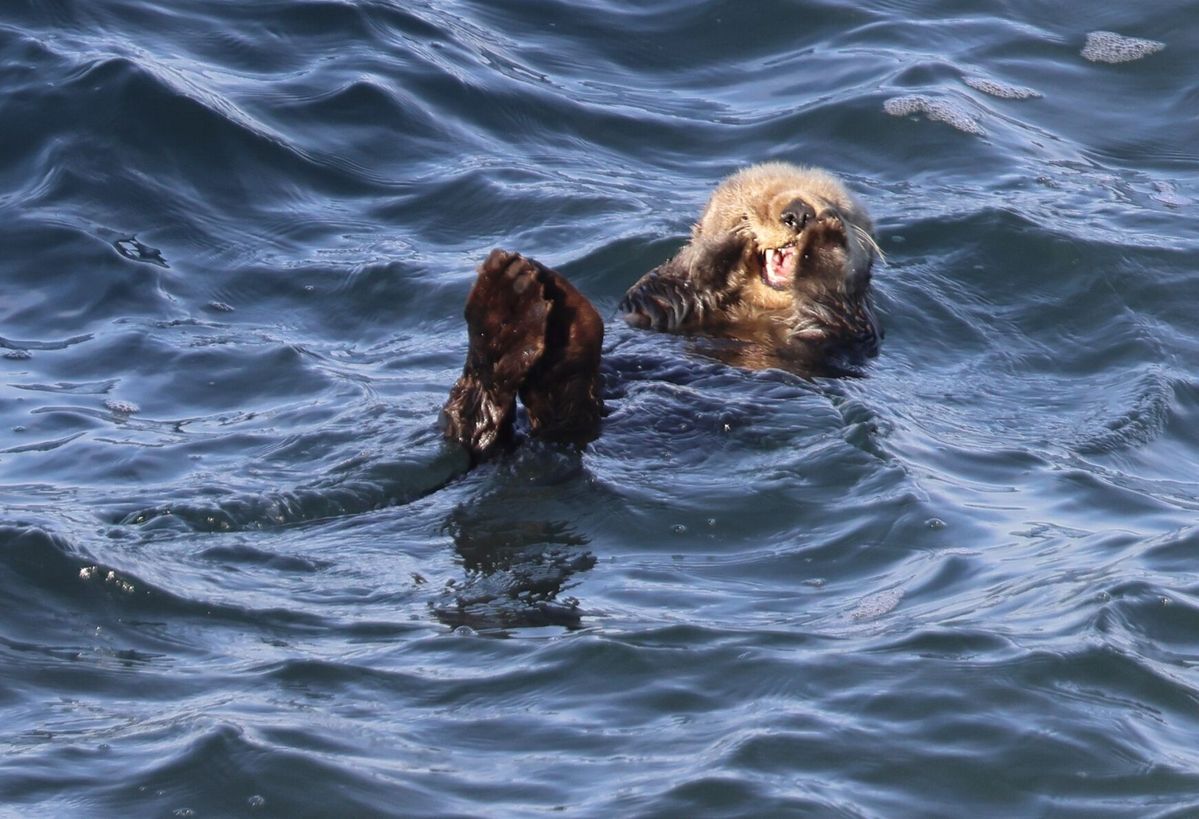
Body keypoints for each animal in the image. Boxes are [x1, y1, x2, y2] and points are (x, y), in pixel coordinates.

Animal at [441, 162, 883, 462]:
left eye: (835, 206)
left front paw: (826, 241)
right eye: (754, 201)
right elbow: (666, 286)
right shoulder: (659, 299)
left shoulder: (848, 330)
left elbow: (829, 306)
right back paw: (511, 303)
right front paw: (729, 240)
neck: (753, 310)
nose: (798, 212)